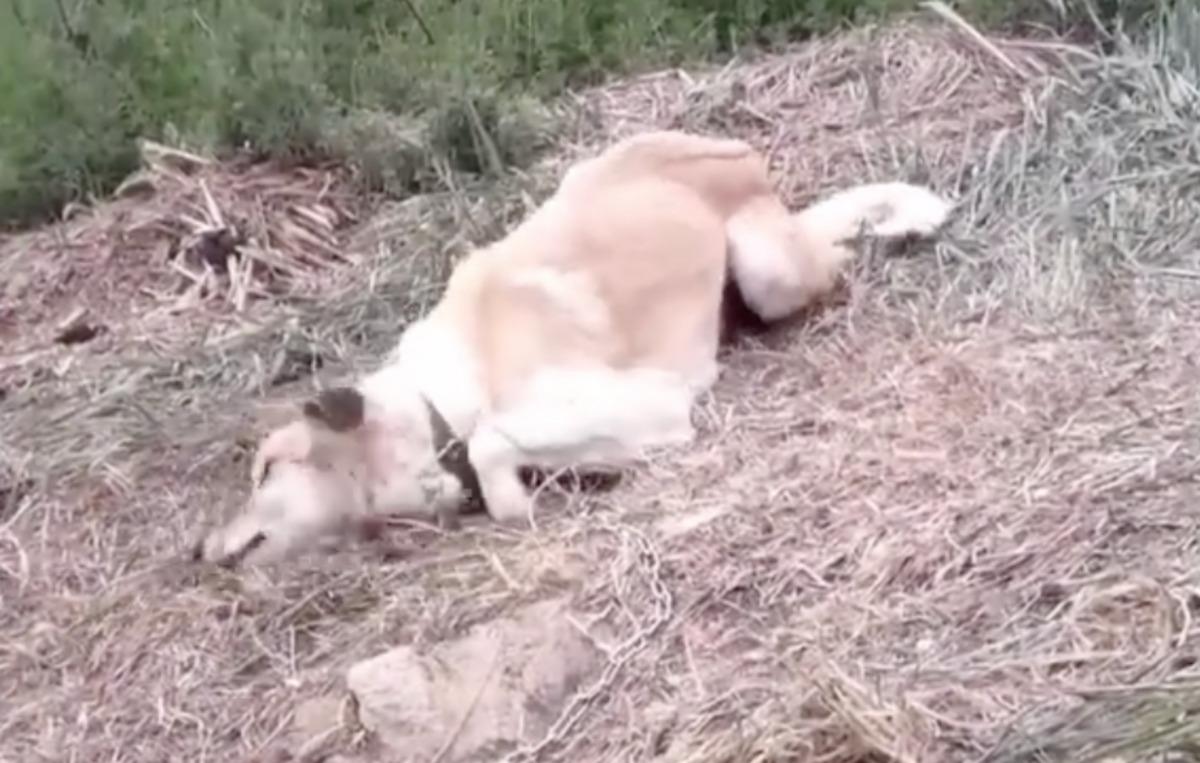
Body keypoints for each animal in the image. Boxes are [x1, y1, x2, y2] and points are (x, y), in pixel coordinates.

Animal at [192, 129, 950, 566]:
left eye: (266, 470)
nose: (196, 550)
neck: (439, 401)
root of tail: (735, 149)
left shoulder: (654, 405)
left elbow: (492, 446)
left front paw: (516, 500)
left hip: (772, 275)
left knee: (831, 258)